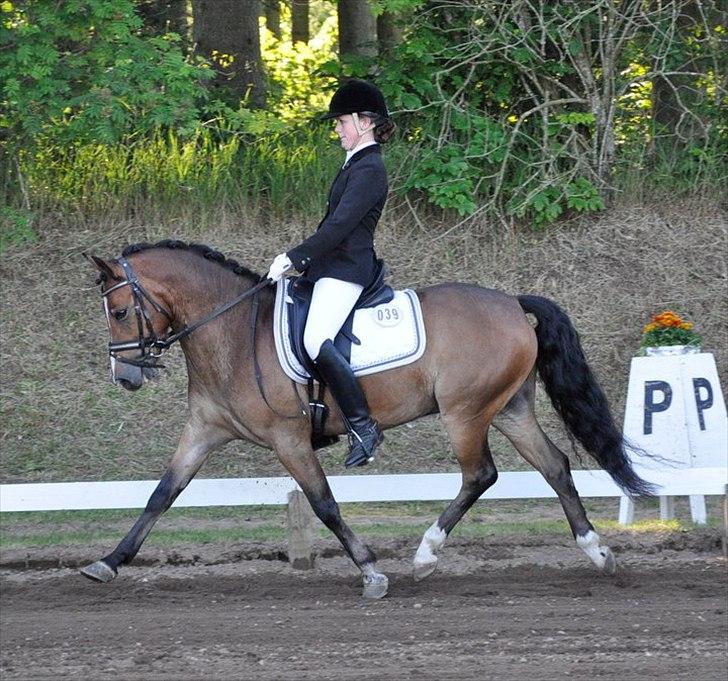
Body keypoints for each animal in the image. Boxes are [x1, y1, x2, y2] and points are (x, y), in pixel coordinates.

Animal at [82, 240, 654, 599]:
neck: (231, 331)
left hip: (465, 412)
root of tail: (512, 303)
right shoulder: (204, 431)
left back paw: (426, 556)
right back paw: (597, 552)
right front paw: (107, 563)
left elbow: (324, 504)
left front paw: (371, 572)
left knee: (480, 475)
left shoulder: (289, 439)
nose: (124, 377)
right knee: (554, 466)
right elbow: (162, 494)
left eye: (119, 312)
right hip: (509, 409)